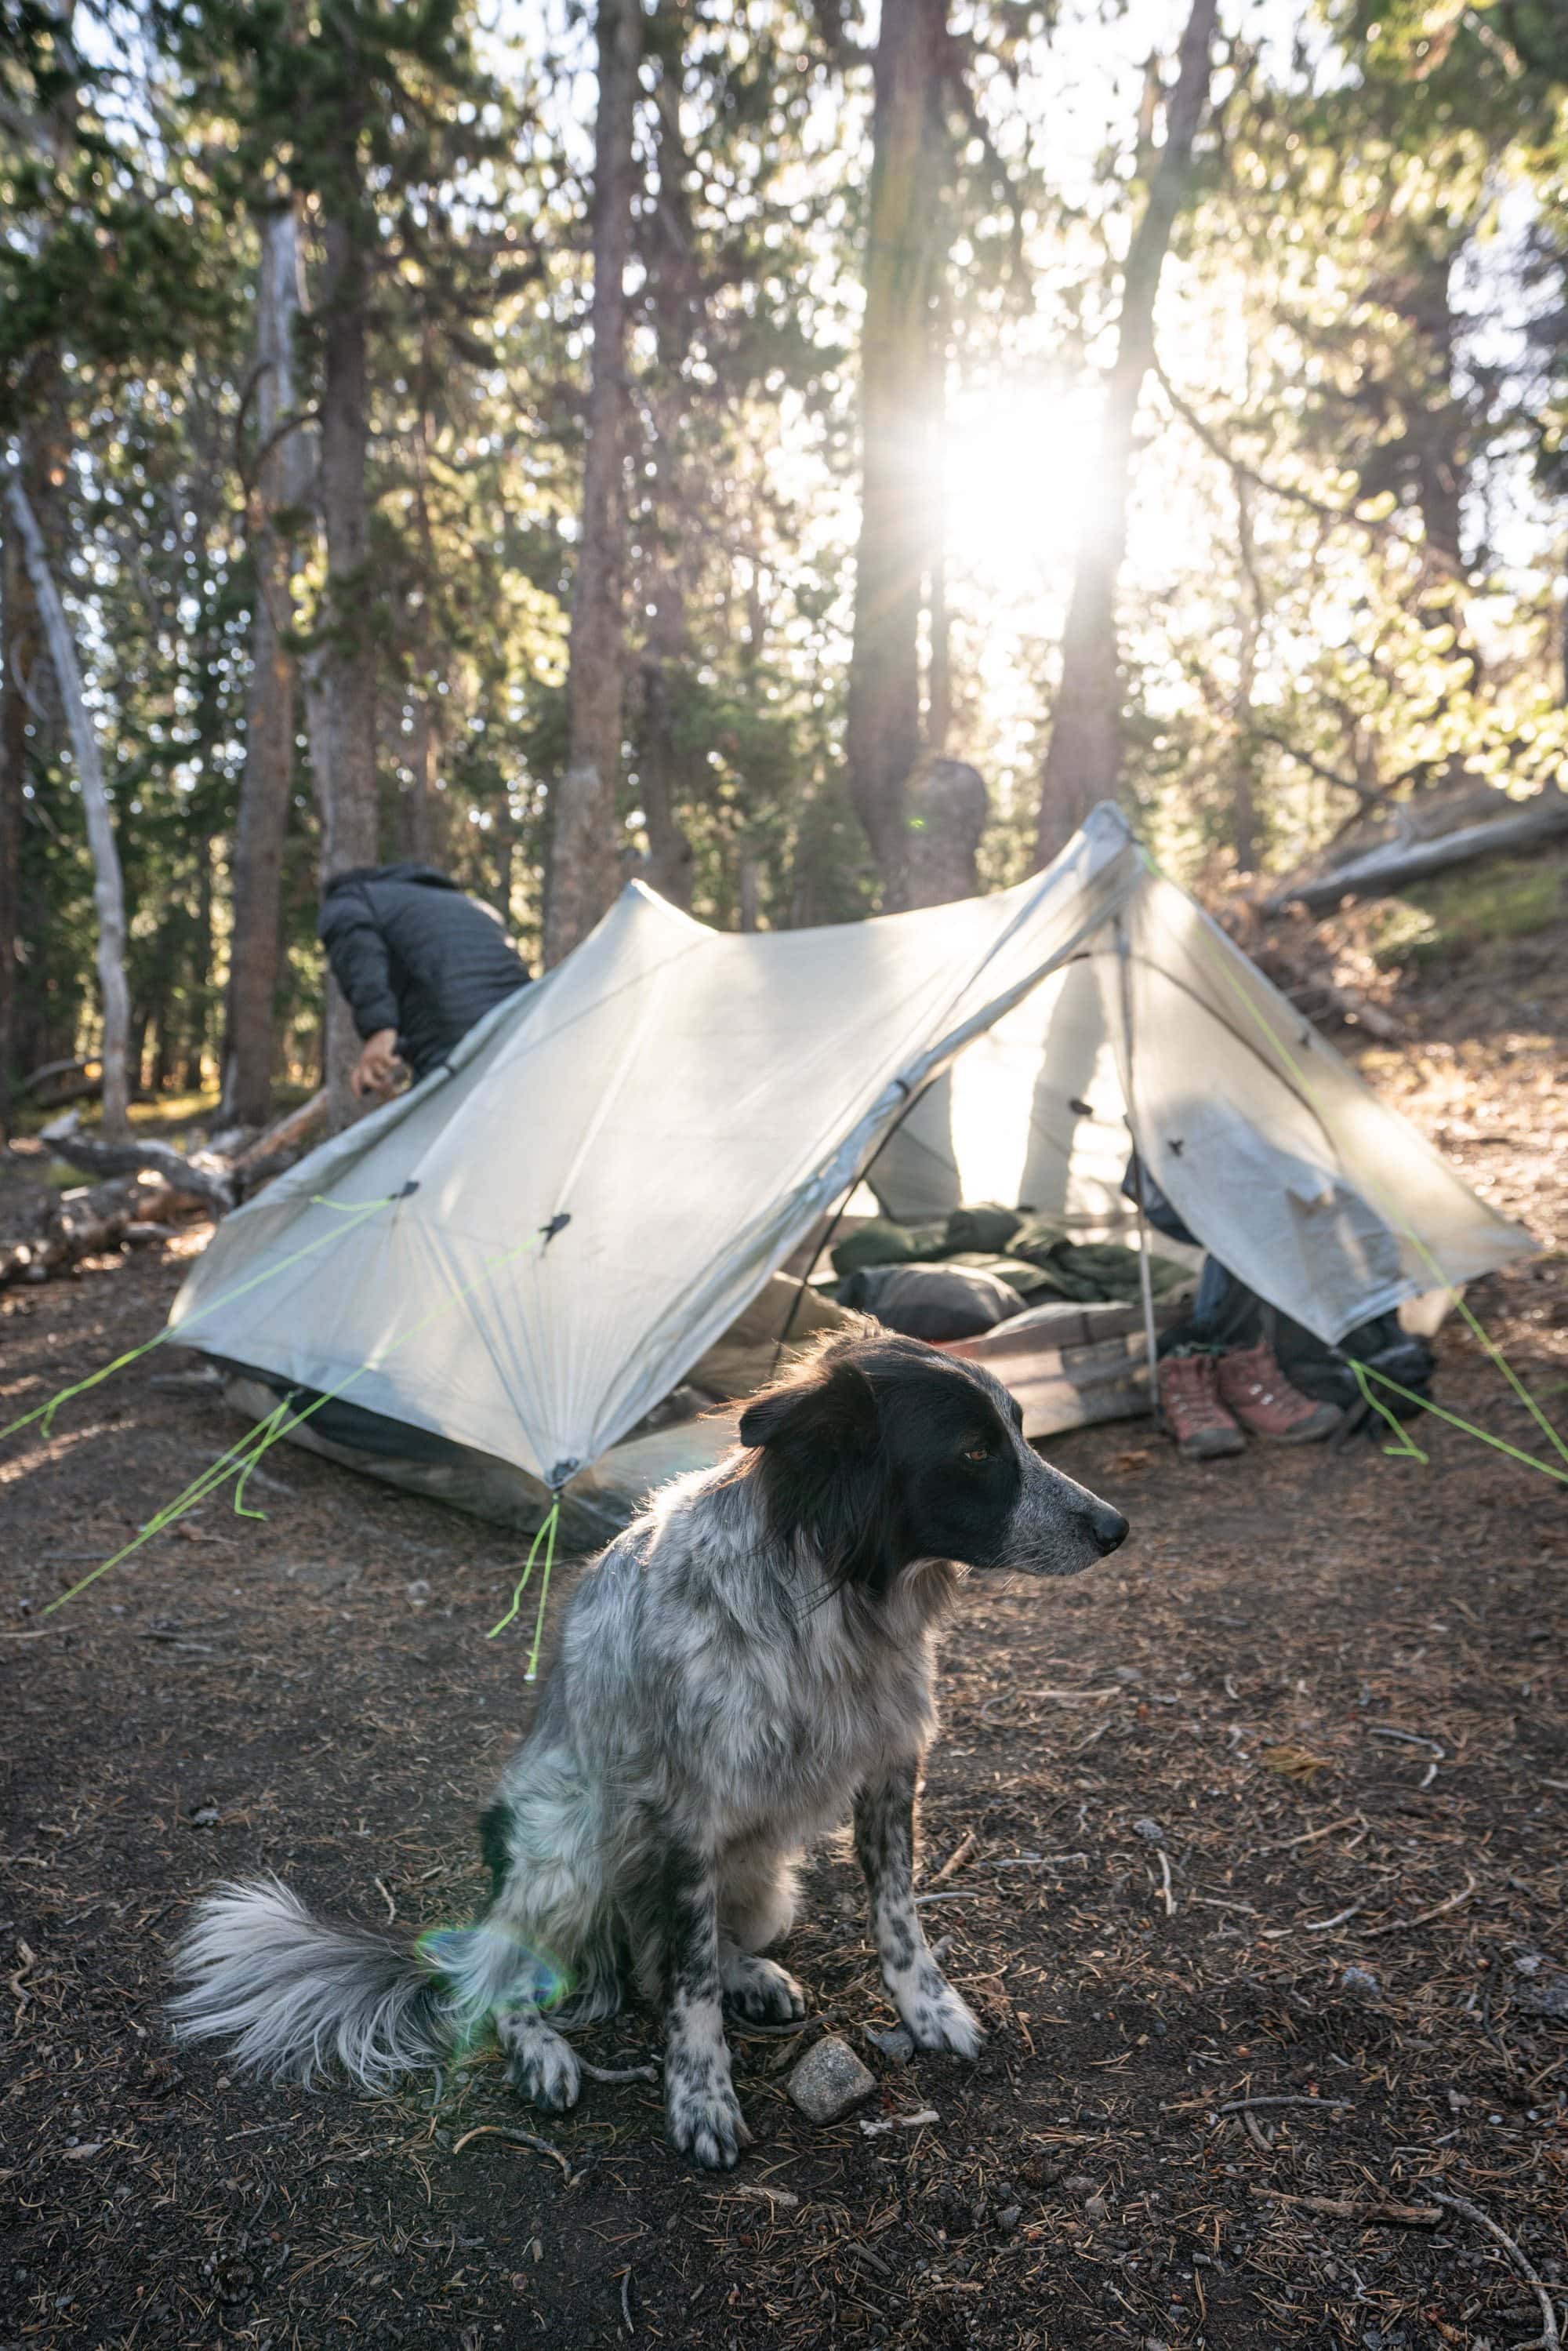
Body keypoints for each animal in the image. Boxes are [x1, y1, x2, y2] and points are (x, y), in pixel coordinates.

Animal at [169, 1335, 1128, 2172]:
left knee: (671, 1949)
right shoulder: (685, 1814)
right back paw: (543, 2052)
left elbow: (895, 1918)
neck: (832, 1614)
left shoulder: (892, 1769)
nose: (1116, 1527)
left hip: (767, 1882)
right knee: (523, 1979)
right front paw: (700, 2099)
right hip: (564, 1852)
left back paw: (751, 1976)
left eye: (1019, 1430)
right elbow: (690, 1988)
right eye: (973, 1452)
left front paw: (930, 2011)